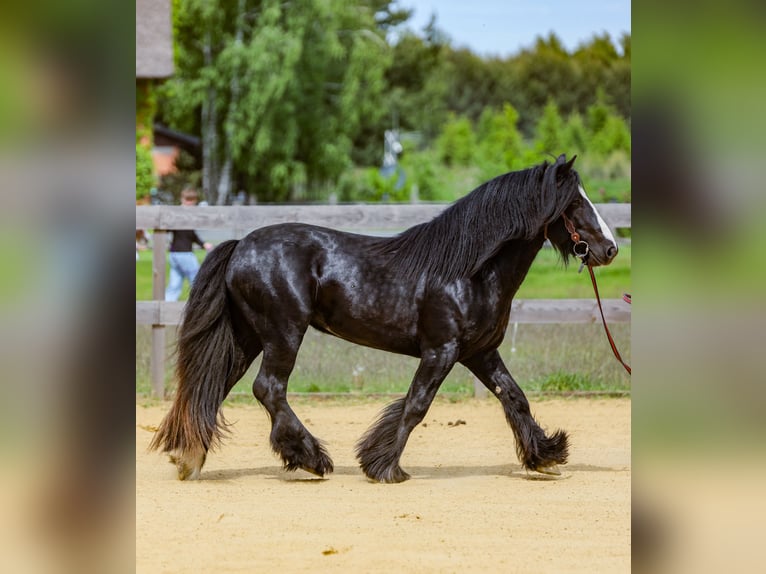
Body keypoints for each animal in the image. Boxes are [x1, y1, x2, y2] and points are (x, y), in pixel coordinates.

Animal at [149, 154, 618, 483]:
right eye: (575, 202)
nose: (610, 249)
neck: (469, 271)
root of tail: (241, 245)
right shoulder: (441, 351)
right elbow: (415, 405)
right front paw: (383, 466)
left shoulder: (480, 353)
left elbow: (515, 397)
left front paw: (546, 457)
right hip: (283, 334)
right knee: (268, 389)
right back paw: (311, 459)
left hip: (246, 337)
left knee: (213, 386)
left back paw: (189, 458)